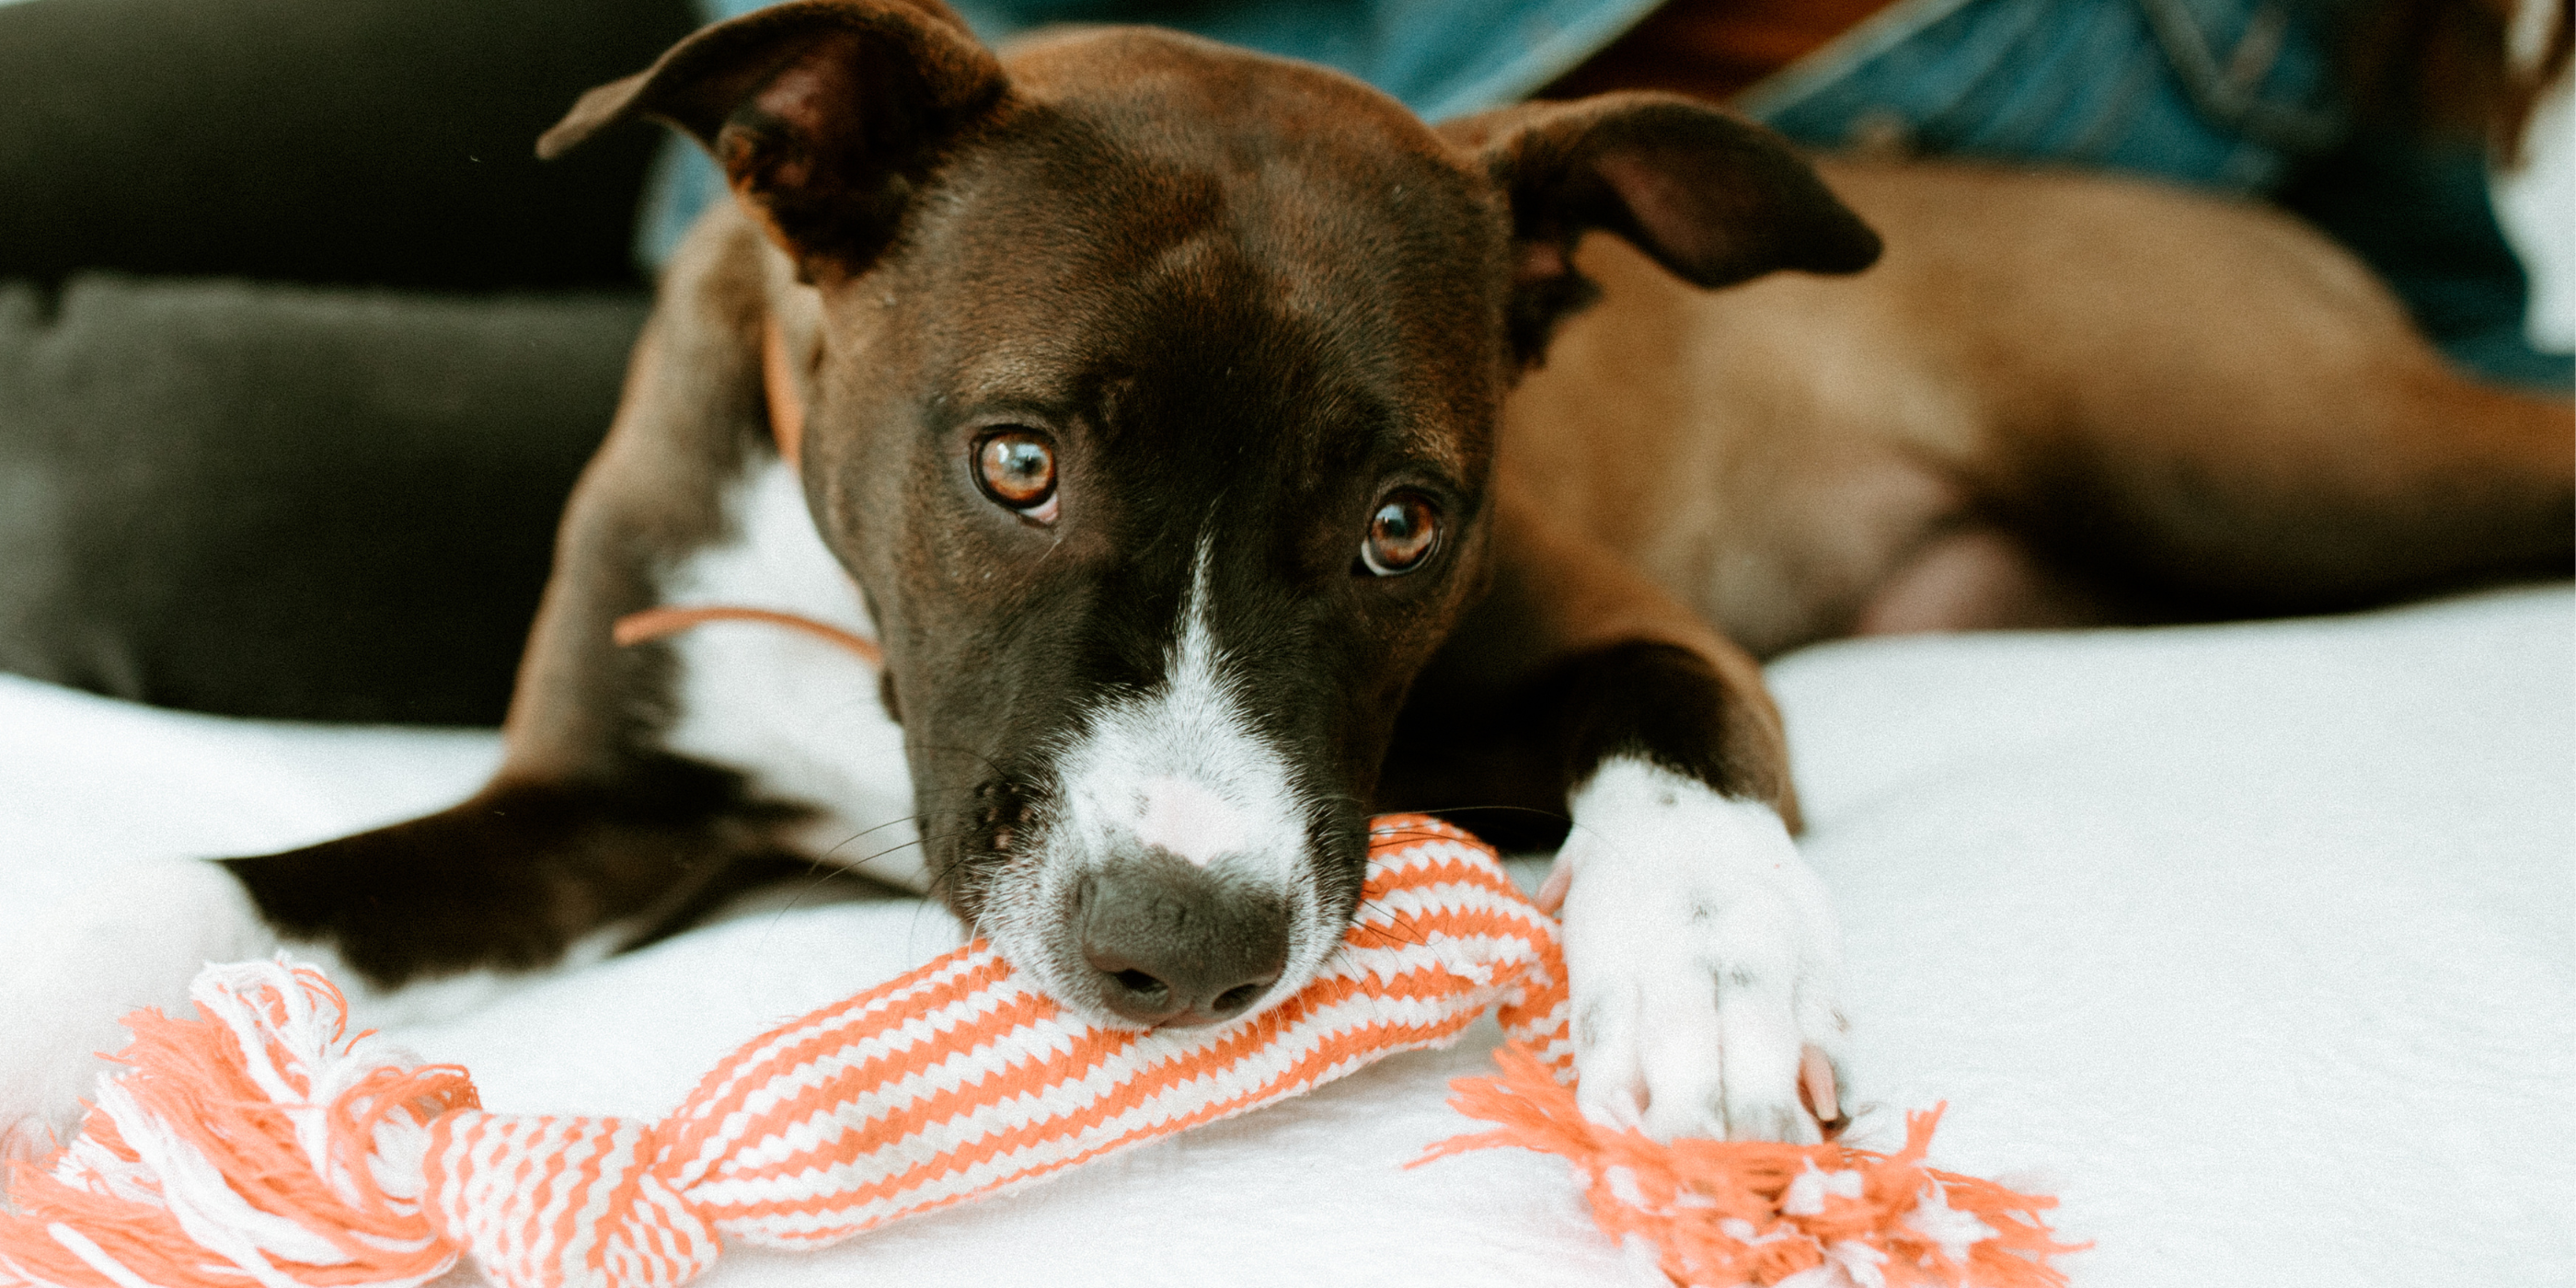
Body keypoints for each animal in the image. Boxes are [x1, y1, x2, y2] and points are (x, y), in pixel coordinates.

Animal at [9, 0, 2565, 1154]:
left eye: (1403, 520)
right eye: (1014, 460)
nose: (1182, 951)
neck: (854, 643)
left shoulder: (1630, 632)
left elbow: (1690, 747)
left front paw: (1707, 983)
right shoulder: (592, 809)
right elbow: (222, 879)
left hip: (2273, 465)